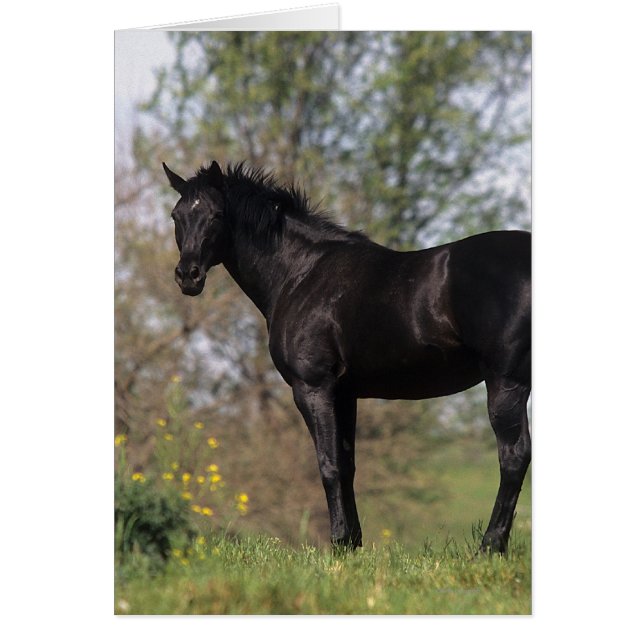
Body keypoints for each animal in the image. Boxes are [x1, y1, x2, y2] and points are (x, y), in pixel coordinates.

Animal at [162, 160, 531, 554]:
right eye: (176, 215)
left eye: (216, 215)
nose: (188, 276)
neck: (301, 273)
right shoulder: (345, 393)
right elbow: (348, 464)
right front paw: (352, 543)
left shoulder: (313, 388)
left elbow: (329, 464)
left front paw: (338, 542)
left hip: (505, 383)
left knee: (513, 456)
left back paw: (489, 546)